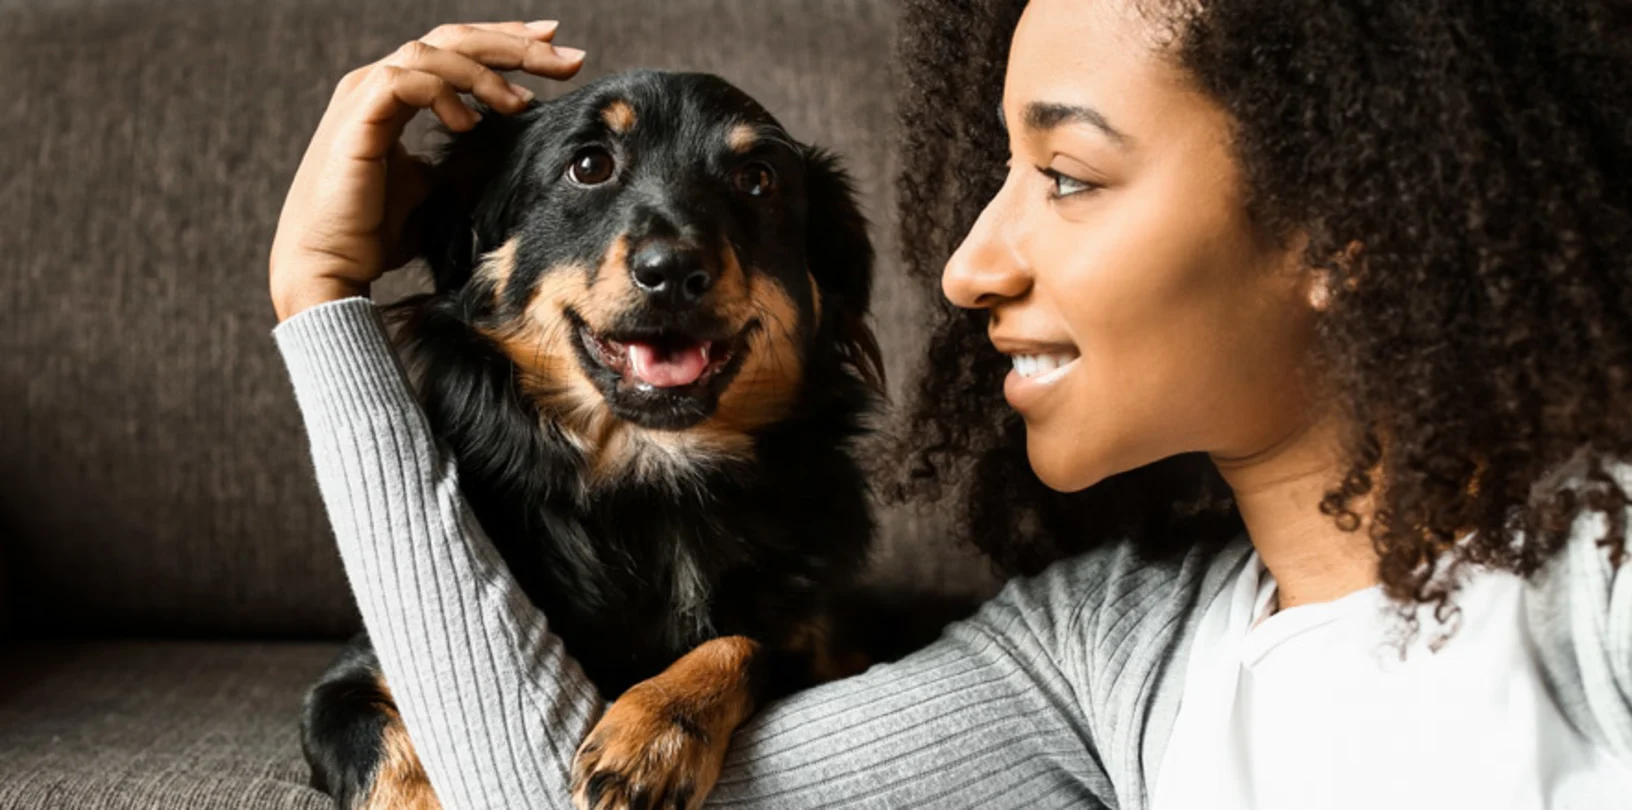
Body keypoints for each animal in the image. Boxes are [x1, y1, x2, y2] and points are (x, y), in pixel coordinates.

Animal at [300, 71, 900, 810]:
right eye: (589, 166)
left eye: (758, 179)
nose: (673, 271)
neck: (652, 480)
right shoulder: (354, 679)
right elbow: (389, 755)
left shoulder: (824, 646)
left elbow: (743, 642)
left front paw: (654, 732)